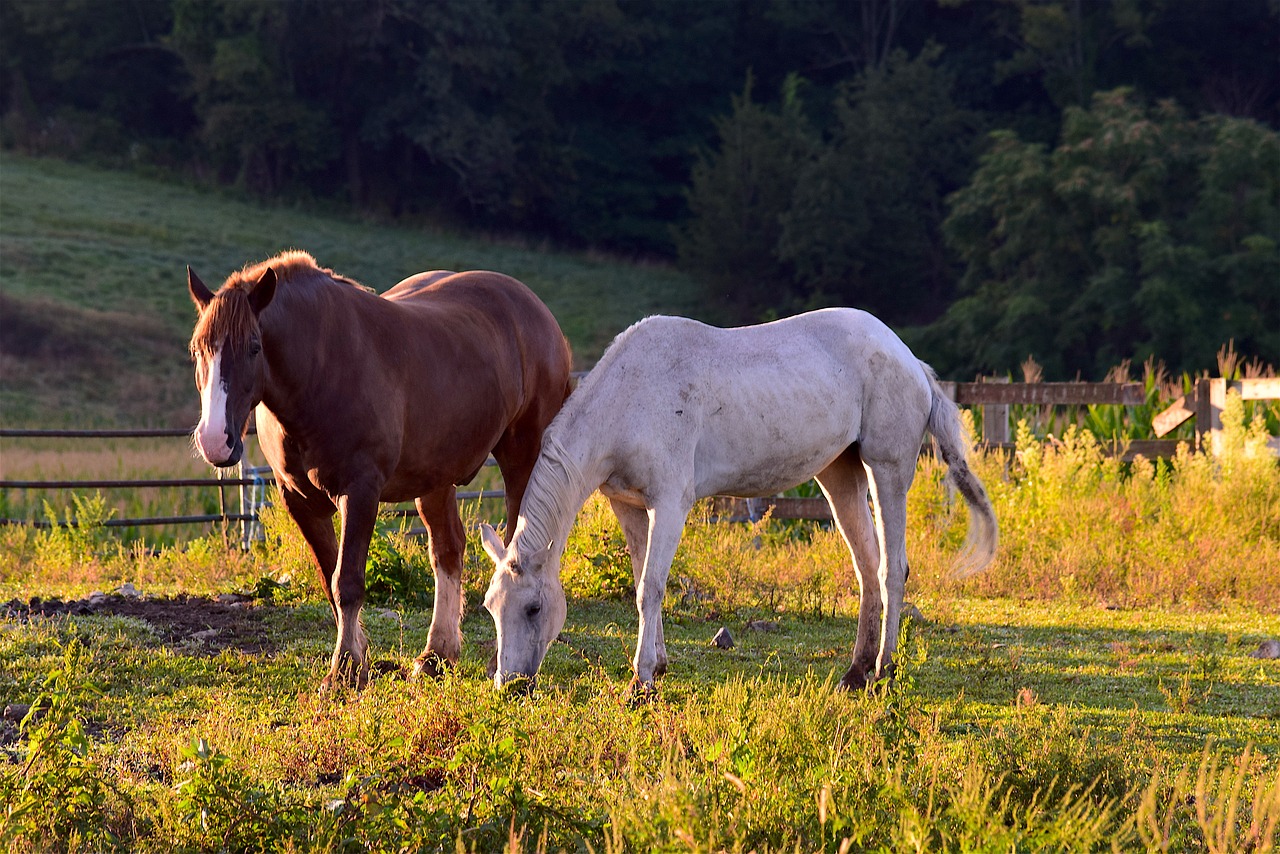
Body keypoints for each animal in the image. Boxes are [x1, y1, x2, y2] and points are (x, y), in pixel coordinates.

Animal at [188, 248, 570, 686]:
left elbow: (348, 582)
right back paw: (436, 655)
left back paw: (496, 663)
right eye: (198, 349)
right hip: (435, 480)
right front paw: (358, 661)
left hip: (522, 458)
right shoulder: (300, 501)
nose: (215, 440)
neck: (320, 369)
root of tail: (539, 313)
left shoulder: (360, 492)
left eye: (254, 347)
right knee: (447, 550)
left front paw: (344, 671)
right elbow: (330, 580)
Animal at [481, 307, 998, 696]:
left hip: (886, 469)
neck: (629, 399)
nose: (510, 685)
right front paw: (658, 665)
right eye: (489, 606)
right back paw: (856, 671)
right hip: (840, 474)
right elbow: (642, 581)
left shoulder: (670, 504)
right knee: (867, 567)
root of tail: (910, 360)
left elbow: (652, 586)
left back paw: (885, 671)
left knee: (893, 569)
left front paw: (641, 681)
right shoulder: (629, 506)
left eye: (533, 608)